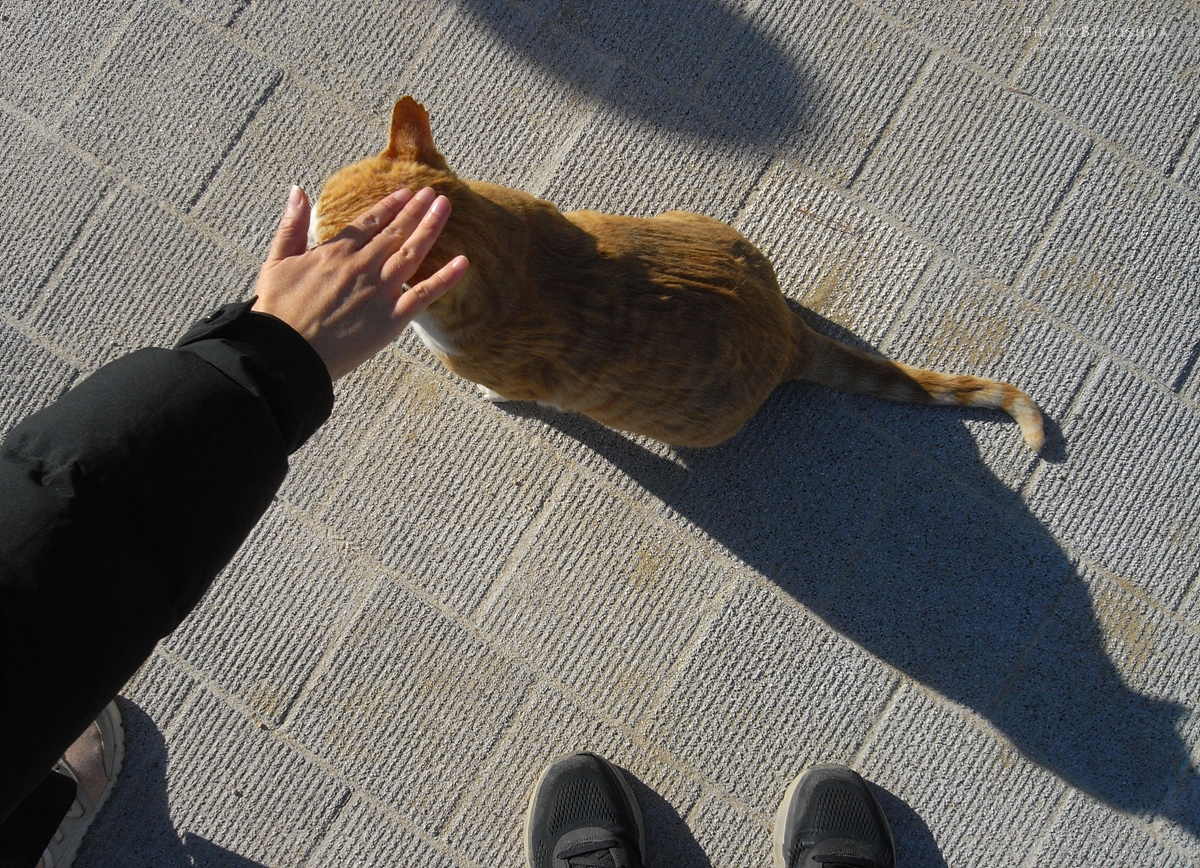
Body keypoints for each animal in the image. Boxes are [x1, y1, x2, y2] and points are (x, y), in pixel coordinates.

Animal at [311, 97, 1044, 452]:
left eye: (321, 232)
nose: (305, 246)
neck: (503, 248)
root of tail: (785, 335)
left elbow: (509, 391)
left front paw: (497, 398)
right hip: (707, 225)